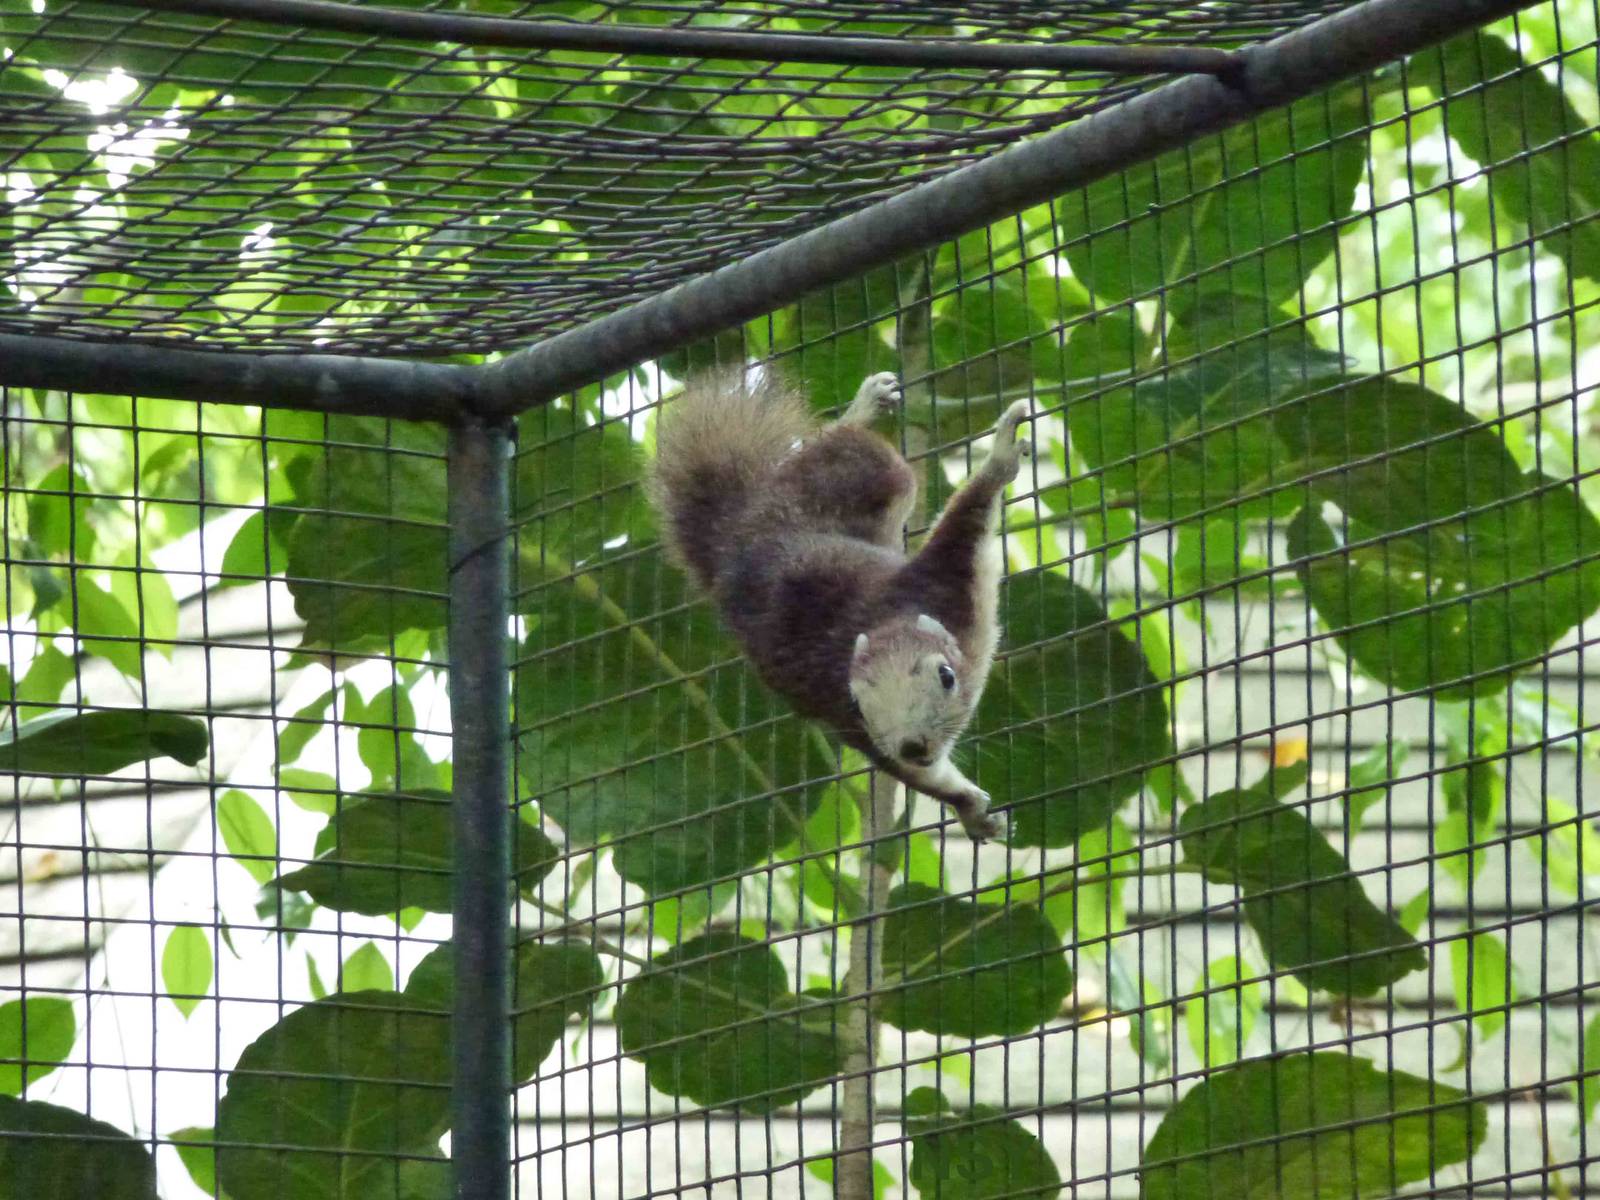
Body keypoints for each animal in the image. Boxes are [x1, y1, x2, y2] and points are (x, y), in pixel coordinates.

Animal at [648, 366, 1031, 842]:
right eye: (859, 704)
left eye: (945, 676)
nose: (911, 744)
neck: (890, 620)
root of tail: (734, 537)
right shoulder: (853, 725)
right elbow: (920, 776)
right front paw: (969, 807)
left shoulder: (946, 583)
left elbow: (969, 512)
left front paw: (1001, 452)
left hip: (871, 474)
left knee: (839, 448)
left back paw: (862, 408)